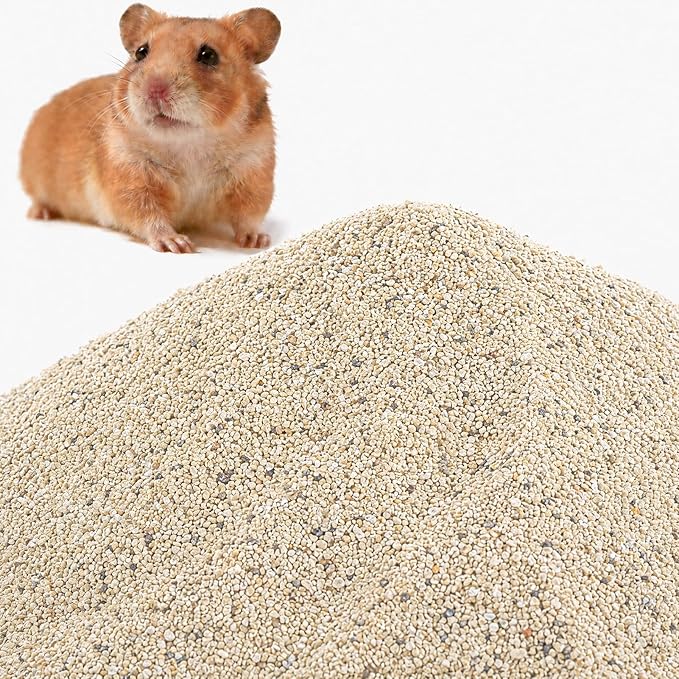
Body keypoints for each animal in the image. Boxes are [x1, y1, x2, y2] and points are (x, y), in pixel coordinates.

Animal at [20, 4, 281, 253]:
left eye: (209, 55)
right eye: (141, 52)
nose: (155, 89)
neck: (190, 144)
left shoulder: (254, 171)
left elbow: (249, 215)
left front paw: (258, 241)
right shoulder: (130, 176)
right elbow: (148, 215)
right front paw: (178, 244)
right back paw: (40, 213)